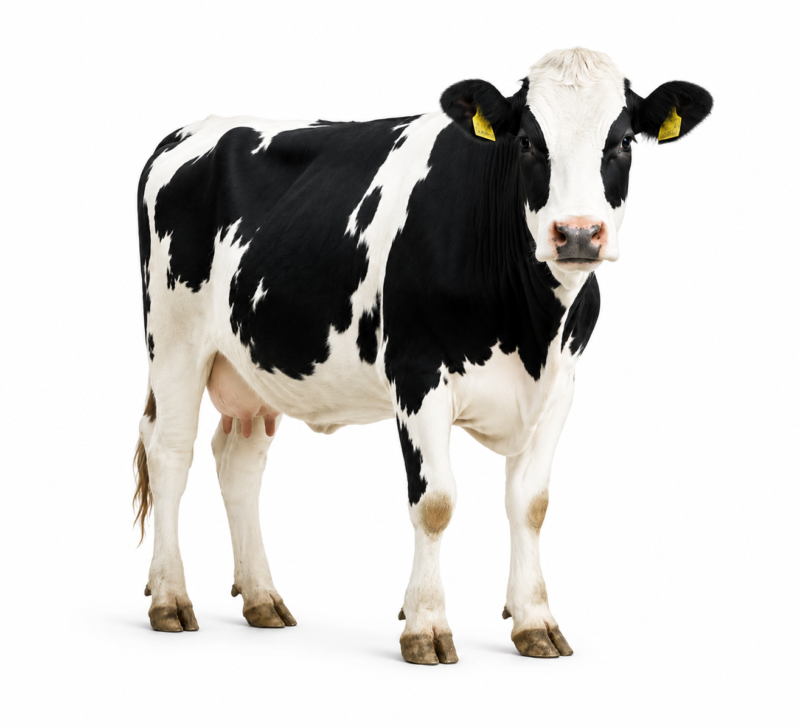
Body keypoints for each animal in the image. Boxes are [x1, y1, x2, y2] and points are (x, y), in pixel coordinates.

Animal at [133, 47, 712, 664]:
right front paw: (426, 625)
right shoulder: (417, 376)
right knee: (169, 453)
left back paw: (263, 598)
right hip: (174, 341)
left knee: (239, 463)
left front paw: (535, 621)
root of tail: (188, 131)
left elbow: (531, 504)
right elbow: (435, 502)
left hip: (254, 364)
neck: (531, 329)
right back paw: (169, 599)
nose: (577, 234)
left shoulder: (561, 386)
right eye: (528, 141)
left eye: (623, 140)